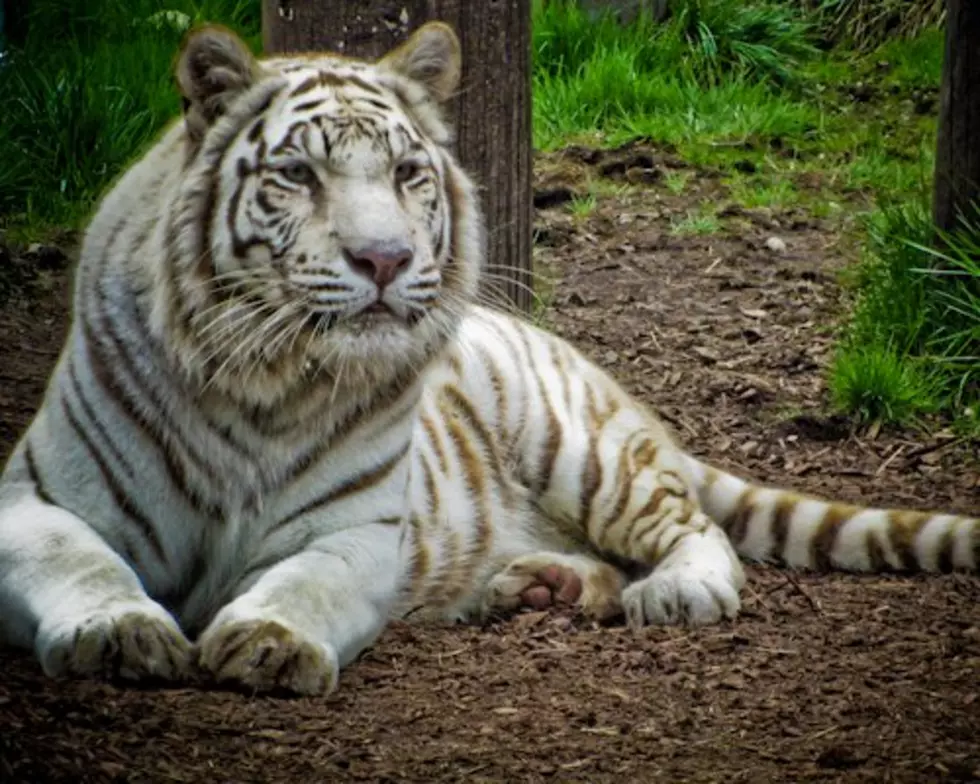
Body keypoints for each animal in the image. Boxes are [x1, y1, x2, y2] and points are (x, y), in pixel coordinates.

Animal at [0, 21, 976, 696]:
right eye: (298, 176)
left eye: (407, 174)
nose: (385, 259)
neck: (261, 382)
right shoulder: (32, 501)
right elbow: (83, 562)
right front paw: (120, 633)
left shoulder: (355, 531)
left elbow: (307, 586)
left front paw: (269, 644)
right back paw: (539, 585)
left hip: (582, 450)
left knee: (692, 530)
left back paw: (671, 593)